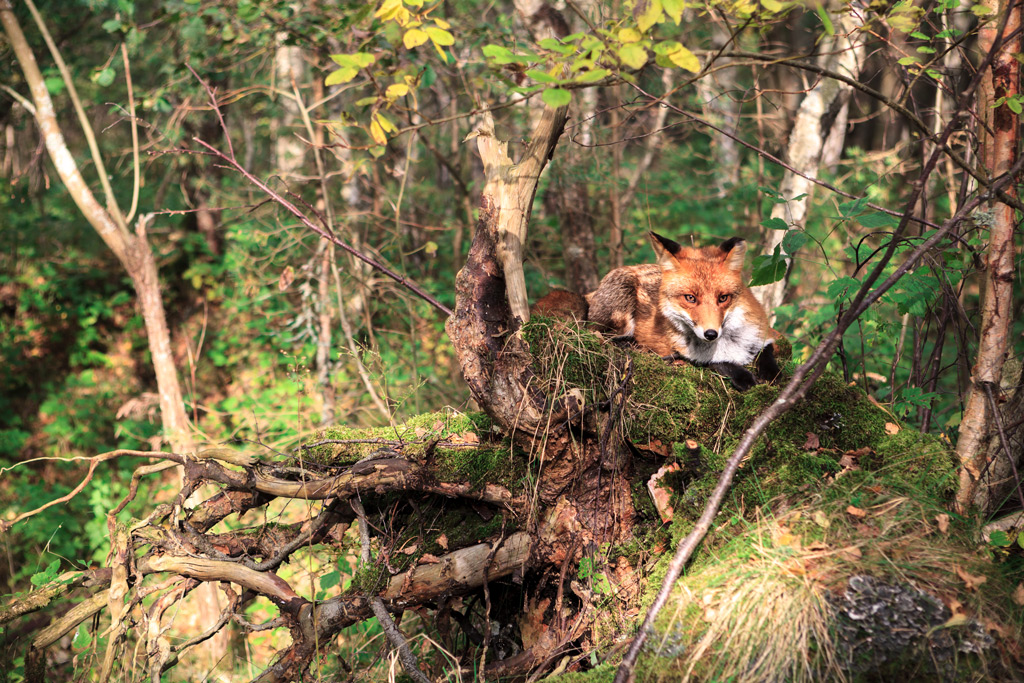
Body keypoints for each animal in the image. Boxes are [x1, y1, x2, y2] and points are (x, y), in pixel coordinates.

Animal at [585, 232, 782, 389]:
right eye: (690, 298)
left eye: (723, 298)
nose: (711, 334)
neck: (730, 341)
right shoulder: (684, 353)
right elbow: (718, 362)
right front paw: (743, 376)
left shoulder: (762, 334)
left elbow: (767, 352)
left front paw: (772, 374)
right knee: (604, 335)